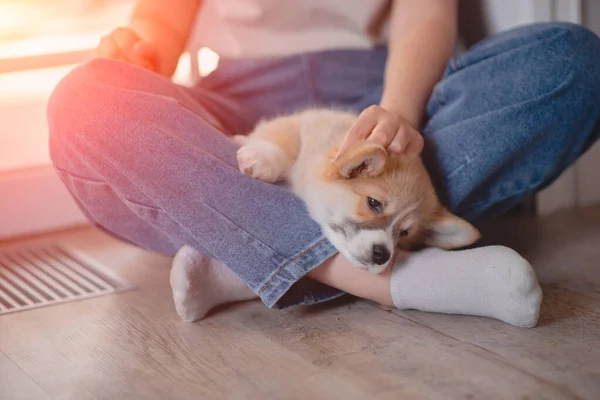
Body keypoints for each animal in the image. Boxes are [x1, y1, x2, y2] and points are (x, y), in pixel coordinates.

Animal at [233, 108, 478, 274]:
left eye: (404, 233)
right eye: (373, 203)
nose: (382, 255)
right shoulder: (299, 125)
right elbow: (284, 141)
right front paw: (260, 158)